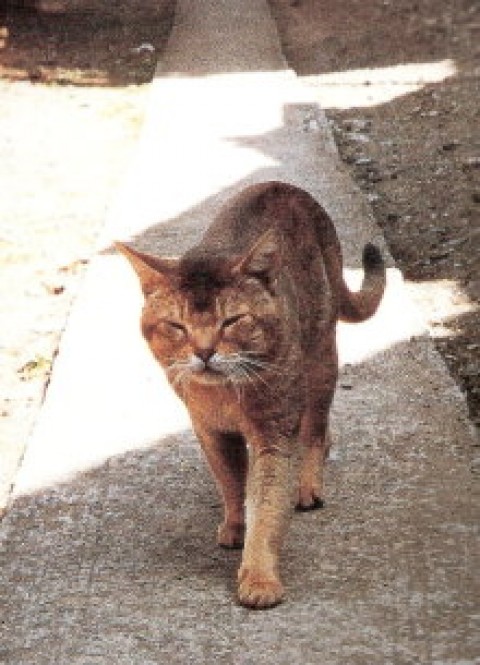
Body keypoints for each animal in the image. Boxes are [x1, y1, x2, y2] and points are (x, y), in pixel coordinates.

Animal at [117, 180, 386, 608]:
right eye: (177, 326)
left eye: (232, 321)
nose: (204, 352)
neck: (225, 395)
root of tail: (285, 187)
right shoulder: (210, 431)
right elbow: (230, 482)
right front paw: (234, 525)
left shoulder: (273, 432)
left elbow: (268, 503)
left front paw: (259, 578)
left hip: (320, 358)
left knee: (315, 427)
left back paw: (309, 485)